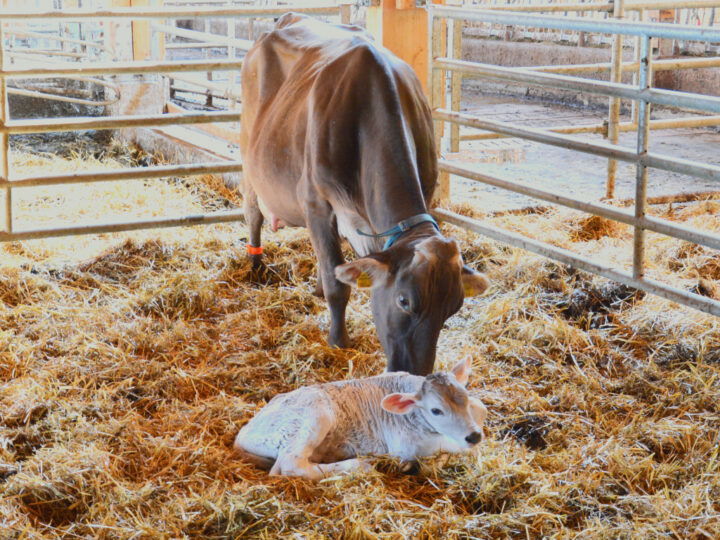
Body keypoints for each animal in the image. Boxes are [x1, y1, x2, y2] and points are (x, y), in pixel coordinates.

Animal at [236, 356, 490, 478]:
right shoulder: (404, 447)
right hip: (314, 415)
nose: (473, 436)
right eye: (436, 410)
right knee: (292, 465)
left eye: (465, 396)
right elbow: (451, 449)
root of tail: (243, 433)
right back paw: (359, 466)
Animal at [242, 13, 490, 376]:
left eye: (454, 307)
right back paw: (256, 263)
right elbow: (337, 284)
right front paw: (337, 340)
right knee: (253, 212)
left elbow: (335, 267)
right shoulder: (316, 202)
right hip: (248, 155)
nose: (414, 373)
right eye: (404, 301)